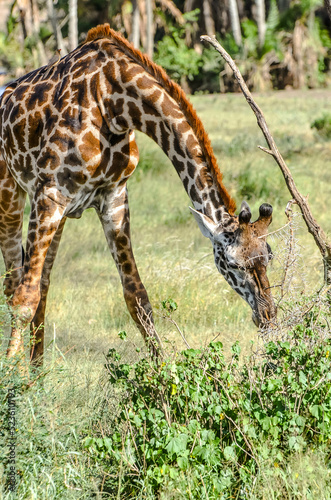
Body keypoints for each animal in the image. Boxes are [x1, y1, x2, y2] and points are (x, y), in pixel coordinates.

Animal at [0, 23, 274, 366]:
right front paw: (14, 380)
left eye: (269, 256)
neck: (115, 101)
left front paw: (164, 374)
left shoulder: (113, 197)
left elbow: (137, 297)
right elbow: (23, 298)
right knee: (14, 282)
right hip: (11, 190)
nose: (267, 315)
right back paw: (19, 370)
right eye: (234, 263)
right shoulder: (50, 193)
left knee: (43, 282)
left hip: (57, 213)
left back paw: (37, 370)